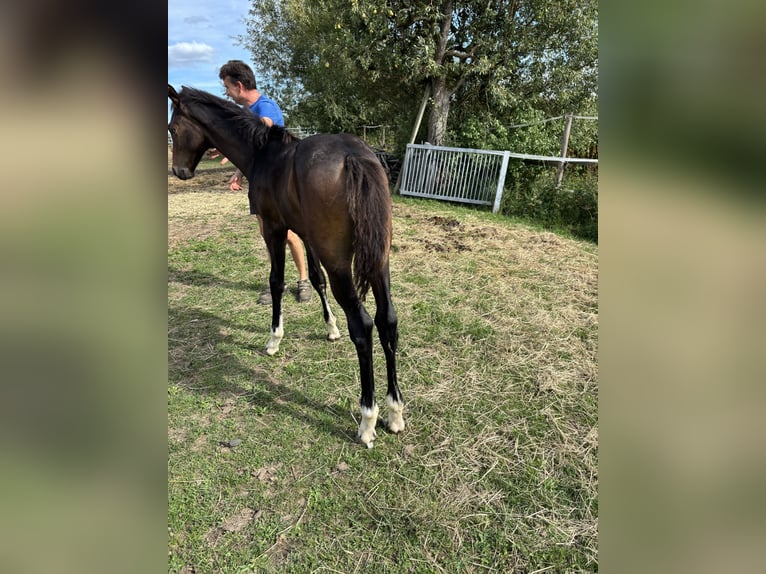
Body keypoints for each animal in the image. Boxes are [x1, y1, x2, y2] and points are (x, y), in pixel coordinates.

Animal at [168, 85, 404, 447]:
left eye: (173, 128)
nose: (179, 172)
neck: (263, 154)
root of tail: (355, 157)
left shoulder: (274, 228)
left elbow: (276, 280)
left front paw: (274, 339)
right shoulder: (306, 234)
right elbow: (316, 279)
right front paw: (330, 328)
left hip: (340, 262)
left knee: (363, 326)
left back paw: (368, 419)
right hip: (379, 260)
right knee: (387, 320)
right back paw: (395, 412)